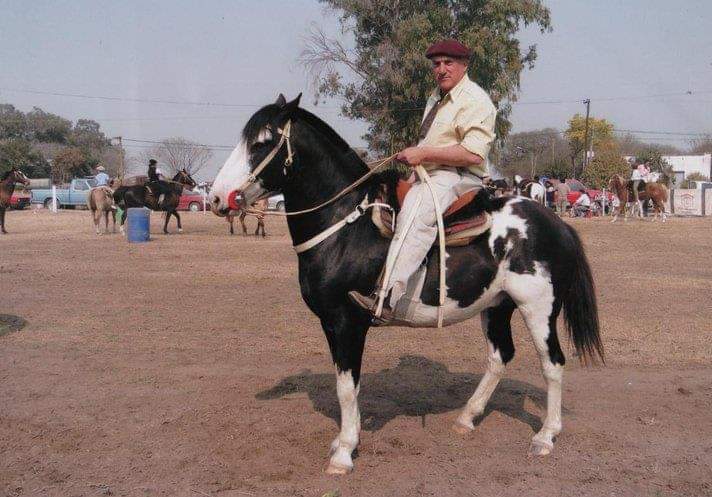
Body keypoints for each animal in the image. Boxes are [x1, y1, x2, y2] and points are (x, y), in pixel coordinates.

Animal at [209, 96, 604, 472]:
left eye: (262, 142)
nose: (216, 197)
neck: (346, 225)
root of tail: (557, 222)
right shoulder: (329, 323)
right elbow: (344, 383)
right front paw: (343, 441)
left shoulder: (347, 321)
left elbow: (347, 387)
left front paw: (344, 452)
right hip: (496, 307)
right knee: (499, 356)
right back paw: (467, 417)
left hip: (538, 309)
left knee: (552, 363)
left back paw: (545, 437)